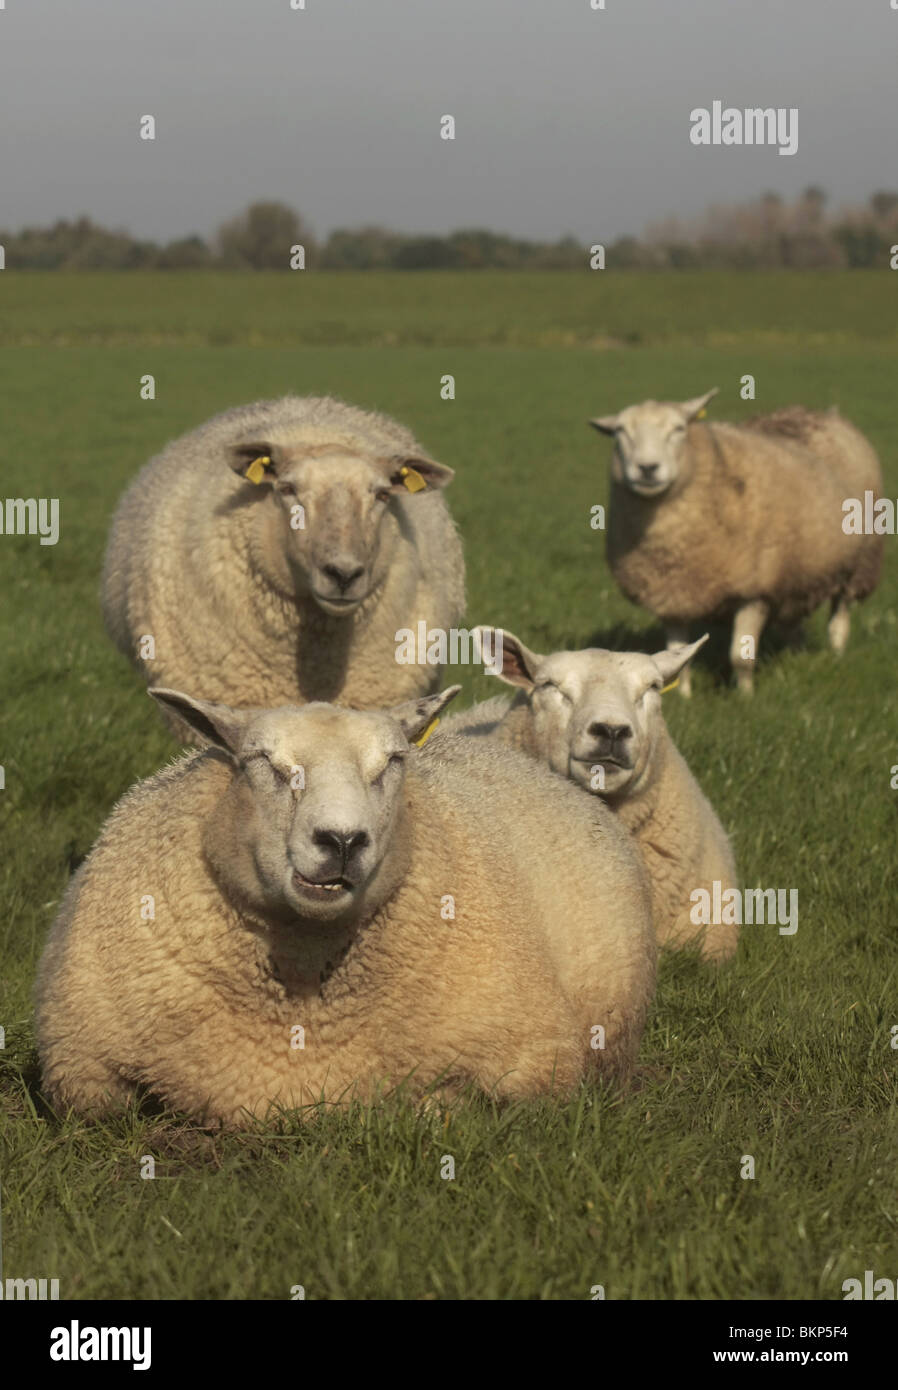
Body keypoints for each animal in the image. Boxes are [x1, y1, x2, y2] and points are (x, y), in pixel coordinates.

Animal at [35, 683, 658, 1128]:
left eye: (393, 764)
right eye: (264, 762)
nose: (341, 840)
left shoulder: (538, 1057)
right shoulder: (76, 1065)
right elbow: (101, 1103)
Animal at [592, 389, 884, 695]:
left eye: (679, 429)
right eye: (620, 432)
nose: (647, 468)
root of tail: (818, 412)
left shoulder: (754, 592)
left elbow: (740, 657)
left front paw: (745, 697)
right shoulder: (672, 597)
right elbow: (679, 657)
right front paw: (685, 696)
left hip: (858, 563)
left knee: (840, 616)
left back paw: (837, 654)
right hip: (796, 575)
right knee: (793, 623)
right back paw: (796, 655)